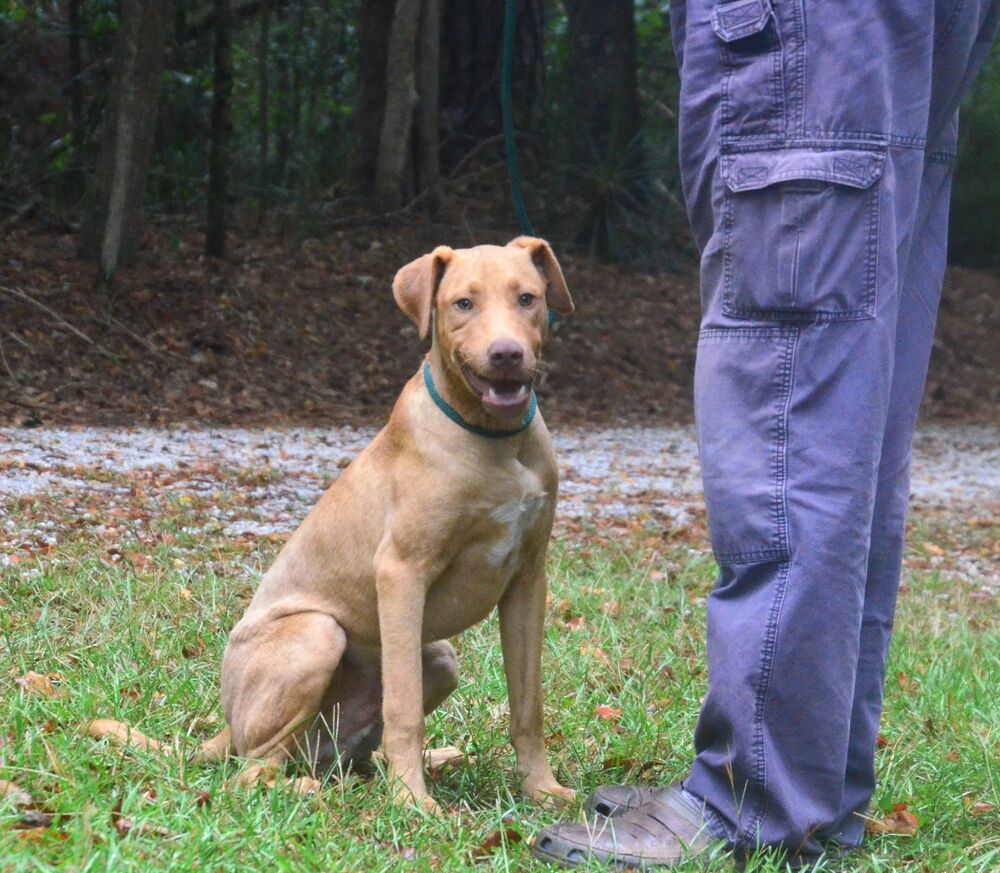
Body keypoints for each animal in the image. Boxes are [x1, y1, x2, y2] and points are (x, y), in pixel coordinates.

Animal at [95, 237, 580, 812]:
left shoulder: (528, 580)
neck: (496, 441)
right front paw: (412, 802)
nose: (506, 354)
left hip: (437, 657)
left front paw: (541, 789)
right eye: (463, 303)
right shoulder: (401, 573)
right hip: (318, 634)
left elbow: (528, 703)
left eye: (528, 298)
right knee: (251, 770)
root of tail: (226, 724)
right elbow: (404, 709)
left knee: (334, 755)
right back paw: (314, 789)